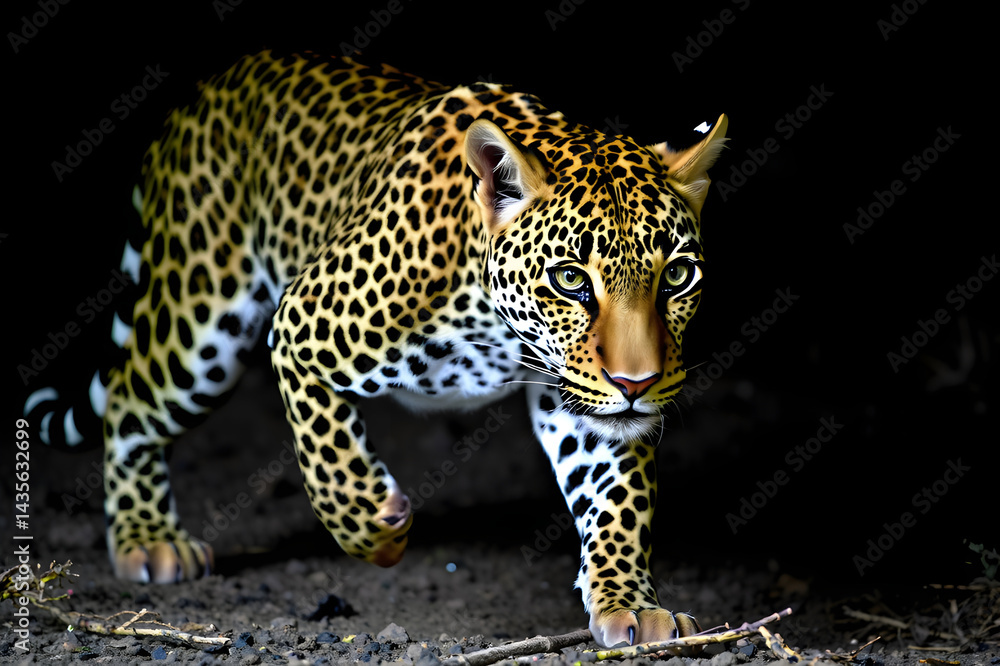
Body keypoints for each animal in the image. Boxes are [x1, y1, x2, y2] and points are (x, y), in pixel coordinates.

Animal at [24, 50, 728, 649]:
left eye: (677, 276)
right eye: (571, 279)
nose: (638, 383)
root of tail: (205, 89)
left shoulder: (583, 402)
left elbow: (618, 503)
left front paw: (627, 602)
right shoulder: (301, 321)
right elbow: (327, 456)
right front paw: (373, 529)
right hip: (200, 324)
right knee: (127, 400)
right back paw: (147, 539)